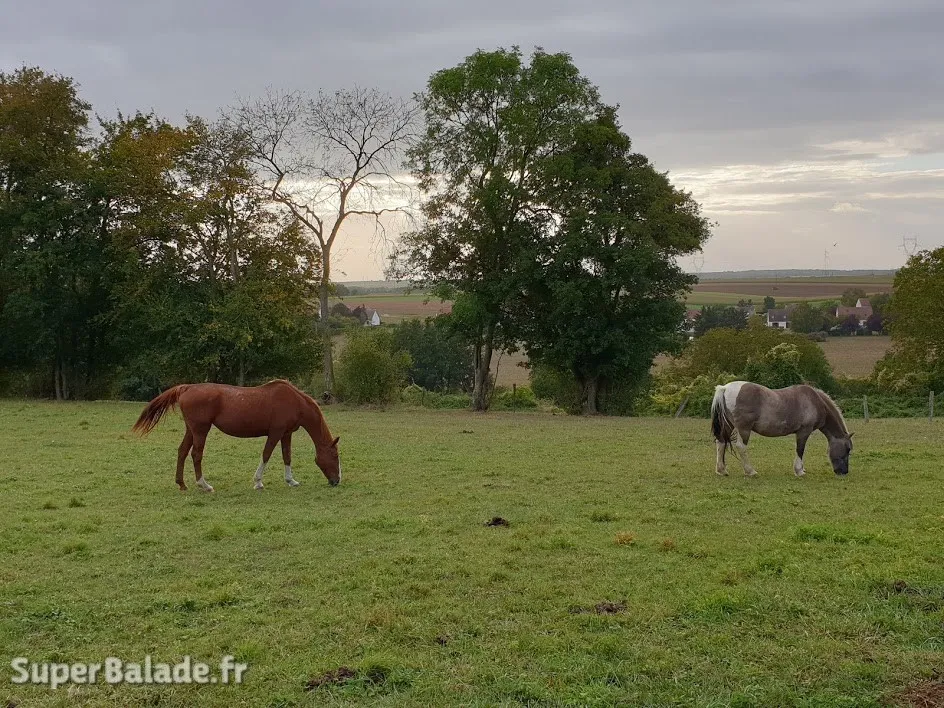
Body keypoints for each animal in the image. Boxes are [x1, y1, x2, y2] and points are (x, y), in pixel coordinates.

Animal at [131, 379, 341, 492]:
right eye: (335, 456)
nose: (336, 481)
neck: (295, 401)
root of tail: (187, 387)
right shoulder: (275, 433)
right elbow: (266, 455)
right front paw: (258, 482)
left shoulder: (286, 434)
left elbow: (287, 456)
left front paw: (291, 481)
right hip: (201, 430)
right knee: (196, 455)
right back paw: (204, 485)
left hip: (191, 430)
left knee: (182, 451)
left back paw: (182, 484)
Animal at [710, 381, 853, 477]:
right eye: (848, 449)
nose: (844, 472)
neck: (814, 401)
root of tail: (725, 388)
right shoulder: (804, 431)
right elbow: (800, 449)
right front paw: (799, 471)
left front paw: (802, 469)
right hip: (744, 429)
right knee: (741, 446)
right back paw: (750, 471)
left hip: (729, 425)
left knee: (721, 442)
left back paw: (721, 470)